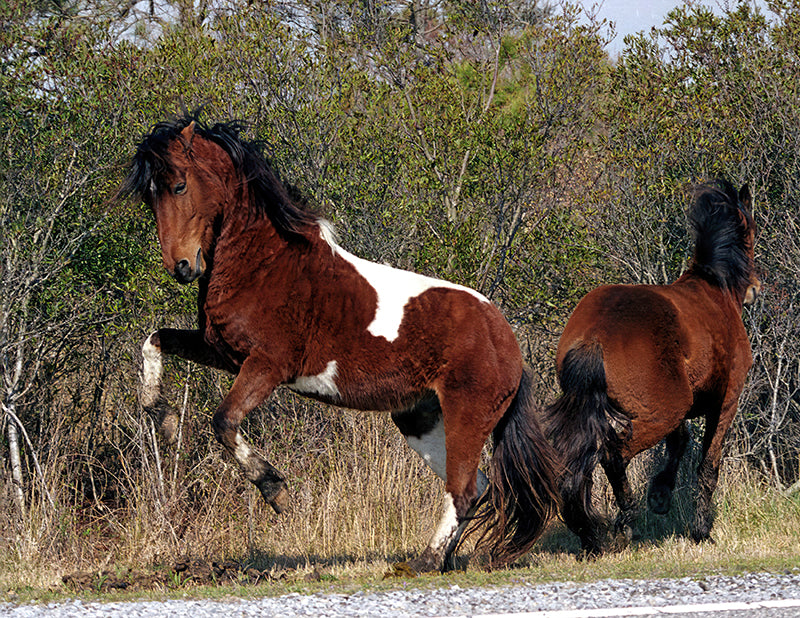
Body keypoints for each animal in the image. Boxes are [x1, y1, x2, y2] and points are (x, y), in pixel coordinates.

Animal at [119, 114, 560, 568]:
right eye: (149, 197)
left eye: (179, 186)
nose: (181, 267)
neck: (265, 265)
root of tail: (508, 342)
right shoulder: (222, 352)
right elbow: (152, 342)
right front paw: (165, 420)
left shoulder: (267, 365)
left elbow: (224, 420)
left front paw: (275, 489)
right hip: (420, 420)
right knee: (479, 486)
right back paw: (440, 560)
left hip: (466, 415)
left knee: (465, 489)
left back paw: (424, 562)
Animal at [548, 178, 760, 552]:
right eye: (751, 234)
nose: (754, 289)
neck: (713, 291)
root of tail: (595, 335)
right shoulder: (726, 401)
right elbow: (708, 464)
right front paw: (701, 530)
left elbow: (680, 443)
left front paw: (660, 496)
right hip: (662, 411)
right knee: (612, 454)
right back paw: (624, 524)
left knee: (576, 462)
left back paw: (590, 535)